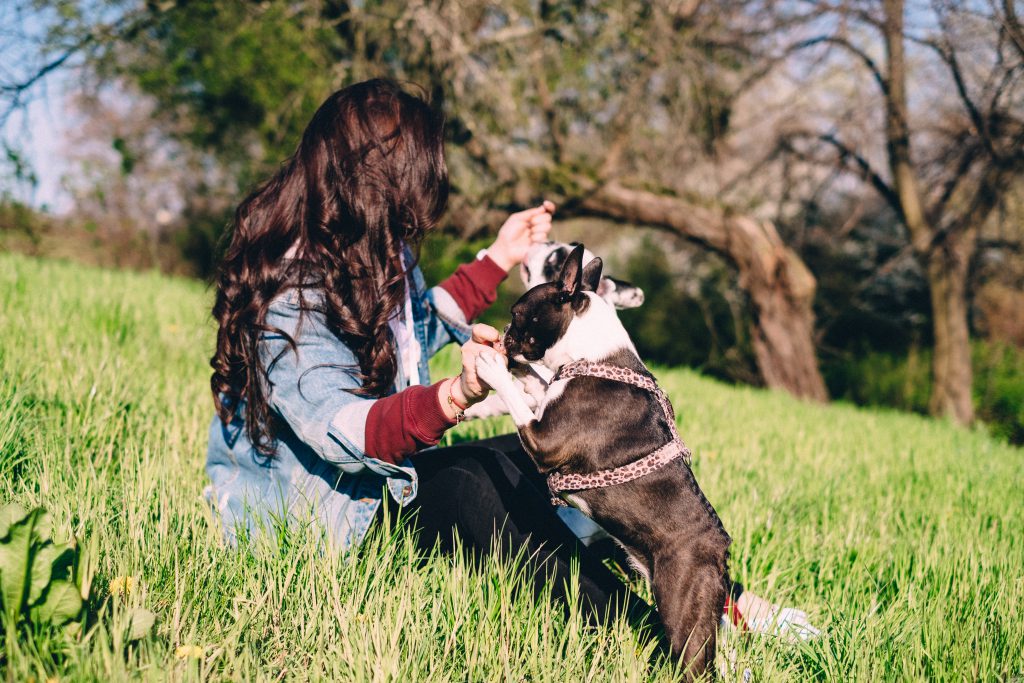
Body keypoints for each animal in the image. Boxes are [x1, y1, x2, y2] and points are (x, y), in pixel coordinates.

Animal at [475, 245, 733, 679]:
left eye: (517, 313)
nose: (505, 333)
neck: (587, 354)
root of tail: (720, 548)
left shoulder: (544, 441)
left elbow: (516, 400)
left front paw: (494, 368)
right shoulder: (547, 403)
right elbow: (536, 385)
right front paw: (514, 373)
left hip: (684, 614)